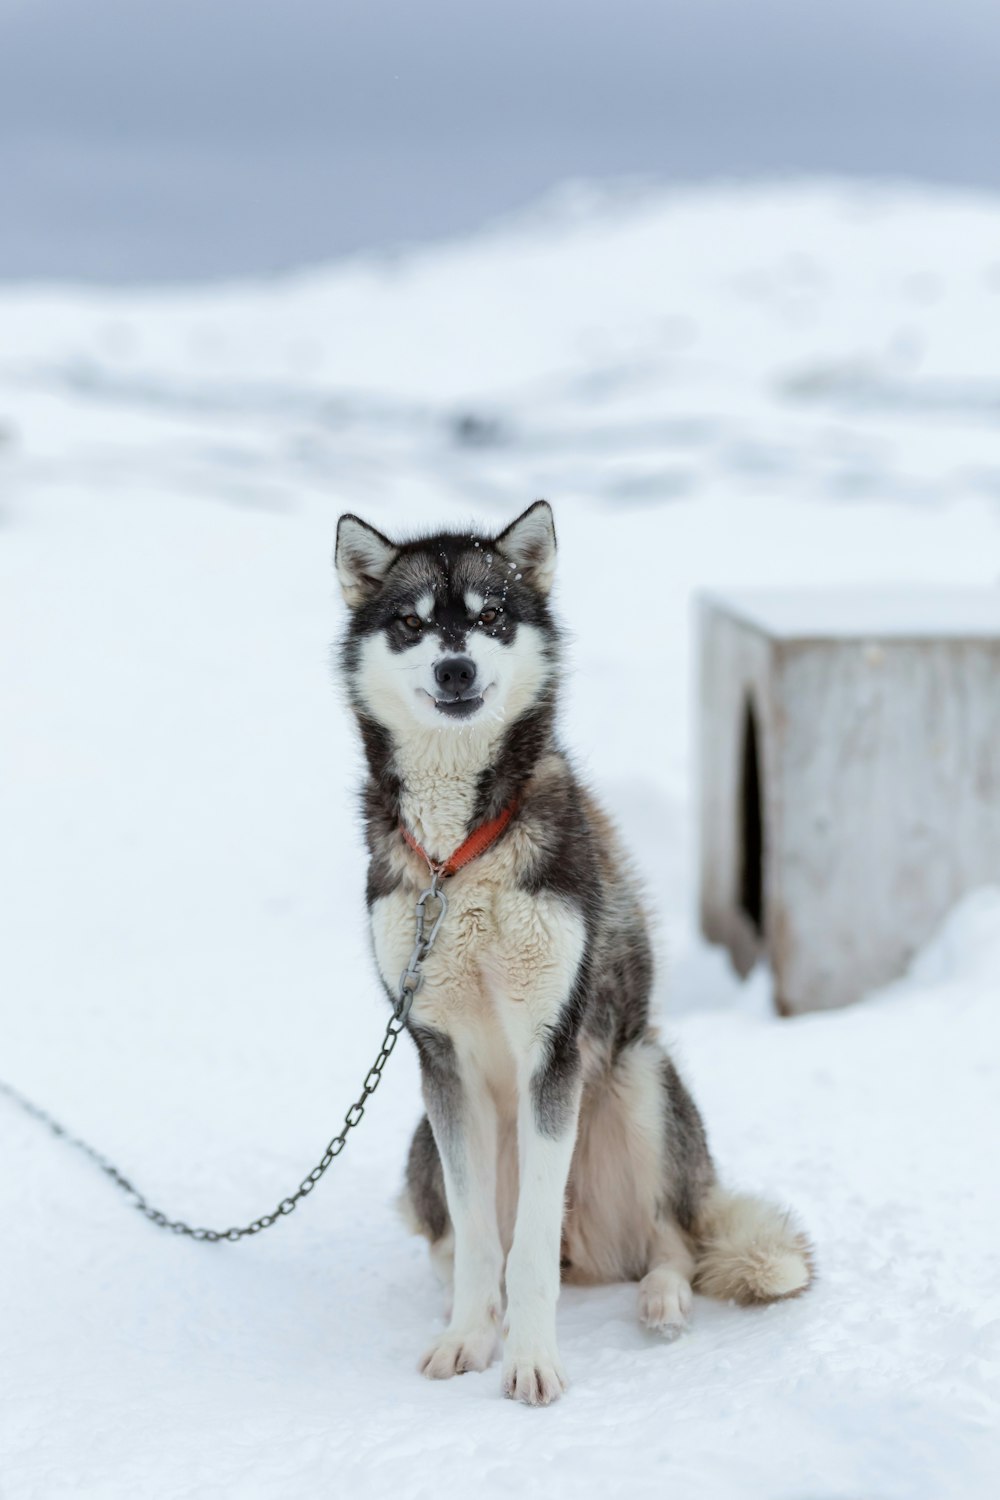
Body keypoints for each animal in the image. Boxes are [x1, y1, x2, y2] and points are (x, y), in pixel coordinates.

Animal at [335, 504, 815, 1404]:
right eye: (412, 625)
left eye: (491, 615)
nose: (455, 668)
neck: (458, 859)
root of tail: (589, 1253)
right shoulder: (439, 1059)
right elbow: (484, 1241)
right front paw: (468, 1338)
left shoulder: (552, 1048)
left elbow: (526, 1253)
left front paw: (531, 1361)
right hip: (422, 1141)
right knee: (456, 1241)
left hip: (640, 1074)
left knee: (671, 1241)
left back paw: (662, 1301)